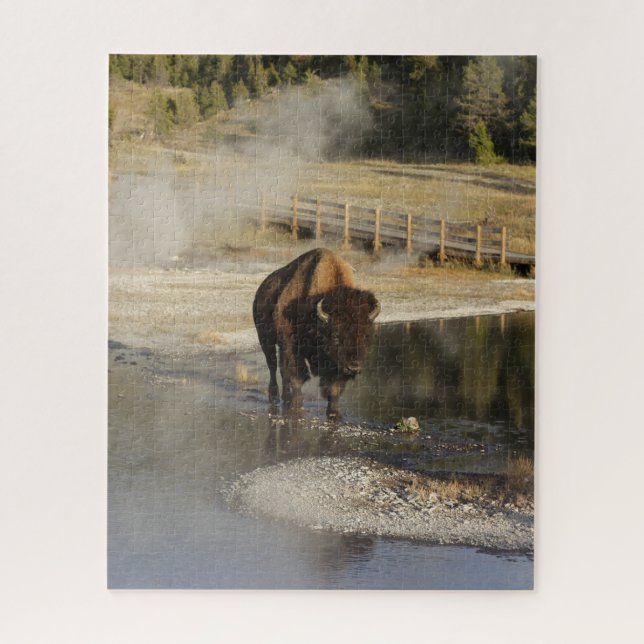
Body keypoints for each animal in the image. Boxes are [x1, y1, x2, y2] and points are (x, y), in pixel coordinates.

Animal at [253, 248, 380, 419]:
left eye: (366, 336)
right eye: (335, 336)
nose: (354, 367)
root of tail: (262, 288)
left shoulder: (335, 364)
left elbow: (334, 387)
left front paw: (333, 413)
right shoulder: (291, 346)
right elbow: (297, 377)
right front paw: (297, 408)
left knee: (281, 370)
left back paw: (285, 398)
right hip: (266, 339)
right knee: (273, 366)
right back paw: (274, 398)